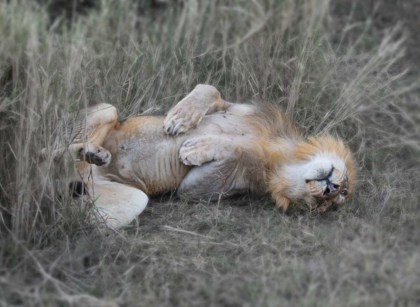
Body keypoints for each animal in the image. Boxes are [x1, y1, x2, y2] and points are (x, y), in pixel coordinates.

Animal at [47, 84, 356, 229]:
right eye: (344, 191)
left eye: (324, 206)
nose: (331, 189)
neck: (280, 155)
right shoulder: (236, 106)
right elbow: (210, 89)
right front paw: (179, 118)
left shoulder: (203, 189)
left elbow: (236, 150)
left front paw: (194, 148)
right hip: (106, 109)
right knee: (49, 149)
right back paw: (90, 152)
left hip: (131, 201)